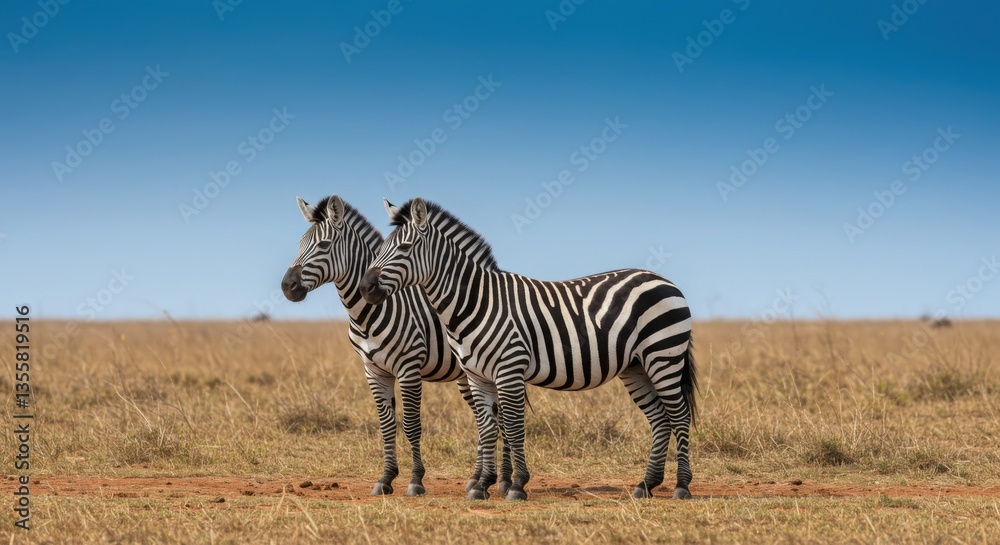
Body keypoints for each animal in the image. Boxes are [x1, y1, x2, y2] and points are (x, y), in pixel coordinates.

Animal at [280, 195, 513, 496]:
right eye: (300, 243)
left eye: (324, 244)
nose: (287, 286)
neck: (368, 313)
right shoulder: (373, 371)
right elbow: (386, 425)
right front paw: (386, 478)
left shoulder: (408, 368)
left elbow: (411, 425)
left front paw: (415, 481)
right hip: (468, 375)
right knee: (484, 419)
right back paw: (477, 479)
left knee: (501, 419)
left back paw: (505, 481)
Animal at [359, 197, 698, 501]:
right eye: (379, 249)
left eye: (404, 249)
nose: (365, 288)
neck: (476, 301)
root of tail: (662, 279)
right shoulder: (477, 376)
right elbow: (487, 427)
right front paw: (482, 485)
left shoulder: (509, 369)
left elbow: (512, 425)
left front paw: (516, 485)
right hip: (636, 367)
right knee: (660, 419)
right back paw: (646, 485)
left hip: (663, 355)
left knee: (679, 415)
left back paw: (681, 486)